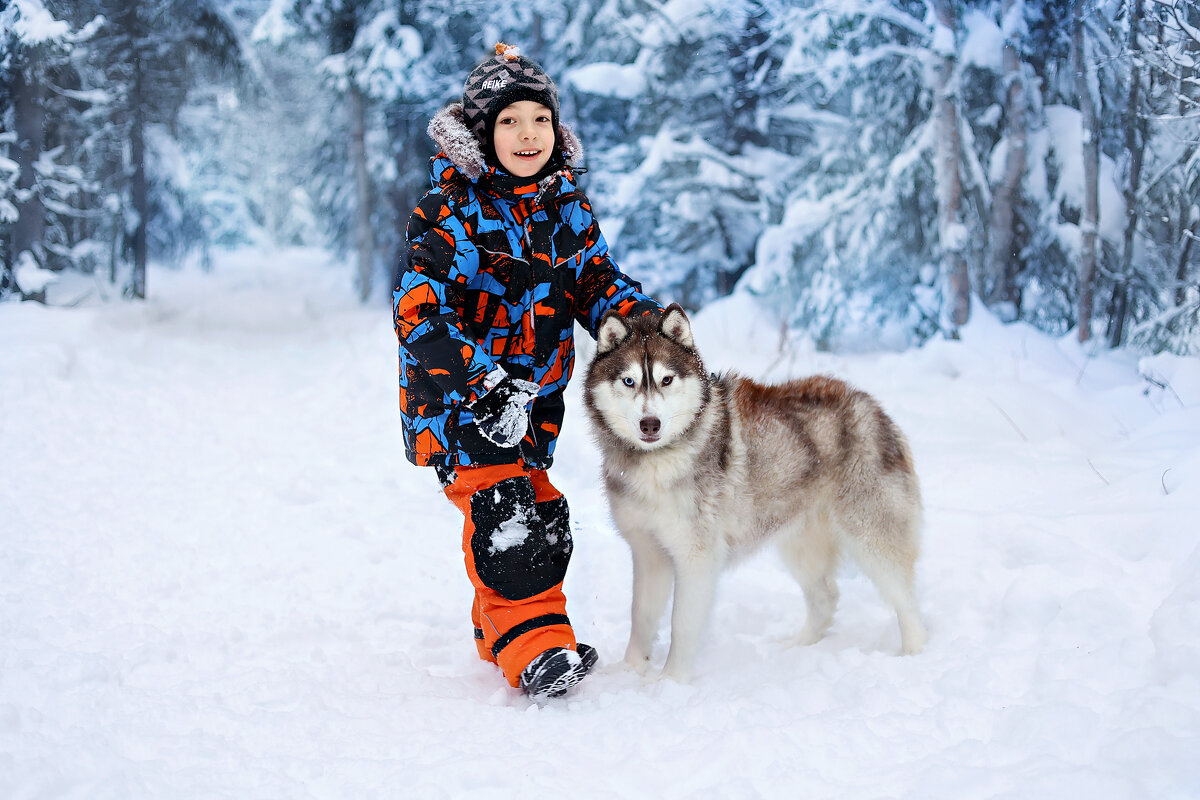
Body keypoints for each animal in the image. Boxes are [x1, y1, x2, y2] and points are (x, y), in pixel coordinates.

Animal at [580, 307, 926, 681]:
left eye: (667, 379)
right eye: (628, 381)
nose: (650, 423)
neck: (658, 460)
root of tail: (869, 403)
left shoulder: (697, 556)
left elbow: (682, 626)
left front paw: (670, 682)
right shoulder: (648, 552)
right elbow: (640, 617)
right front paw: (629, 671)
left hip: (871, 535)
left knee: (906, 599)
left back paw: (914, 654)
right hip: (799, 540)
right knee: (826, 596)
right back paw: (795, 648)